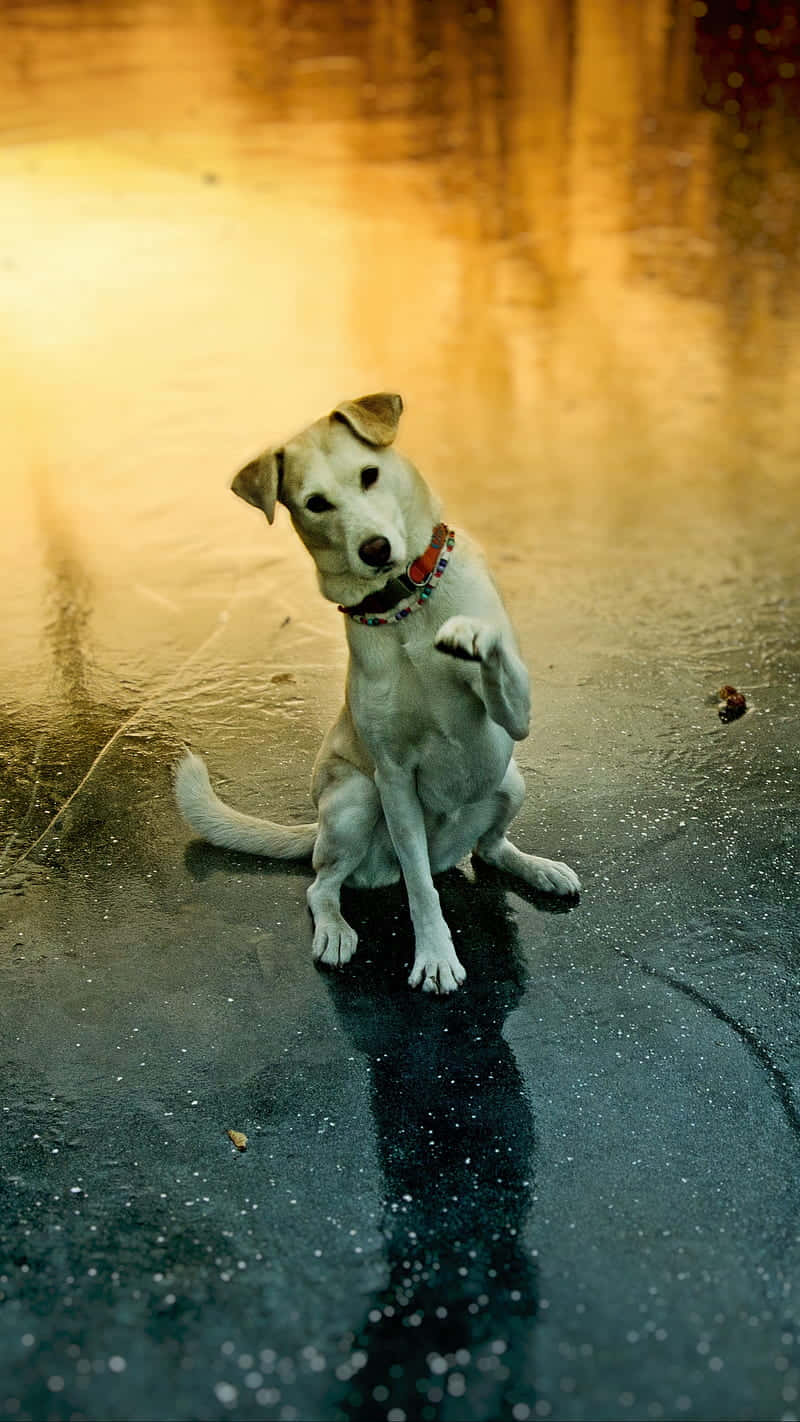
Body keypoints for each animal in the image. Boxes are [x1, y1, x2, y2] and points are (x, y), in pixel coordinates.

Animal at [175, 389, 579, 989]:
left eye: (369, 474)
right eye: (316, 503)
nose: (374, 548)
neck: (405, 604)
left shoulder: (516, 717)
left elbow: (495, 660)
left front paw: (472, 638)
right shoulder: (392, 777)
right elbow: (420, 889)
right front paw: (435, 956)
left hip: (511, 780)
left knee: (491, 850)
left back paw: (541, 870)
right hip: (354, 801)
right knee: (323, 885)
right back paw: (336, 930)